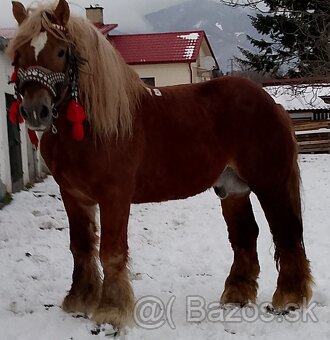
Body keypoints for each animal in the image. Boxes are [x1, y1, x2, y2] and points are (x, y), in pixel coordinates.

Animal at [7, 0, 312, 330]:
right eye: (18, 53)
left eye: (62, 51)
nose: (35, 110)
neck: (94, 126)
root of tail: (271, 104)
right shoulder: (74, 196)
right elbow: (81, 247)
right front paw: (79, 301)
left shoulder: (114, 196)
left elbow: (111, 251)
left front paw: (112, 310)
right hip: (232, 188)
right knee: (245, 234)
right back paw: (237, 295)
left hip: (271, 183)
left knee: (286, 232)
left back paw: (289, 298)